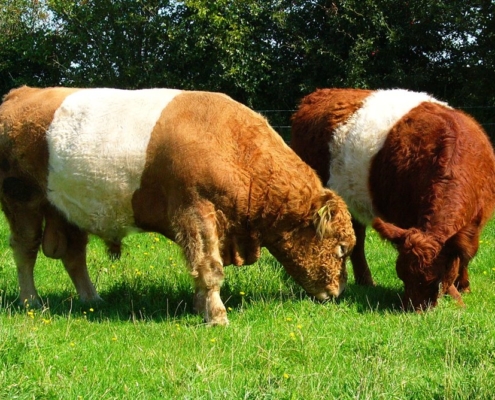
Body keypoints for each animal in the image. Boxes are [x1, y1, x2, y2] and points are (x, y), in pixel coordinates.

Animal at [0, 85, 356, 324]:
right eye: (341, 248)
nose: (338, 292)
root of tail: (20, 93)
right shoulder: (194, 211)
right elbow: (208, 266)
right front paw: (216, 316)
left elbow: (200, 266)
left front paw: (201, 307)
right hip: (21, 201)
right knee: (25, 250)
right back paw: (31, 301)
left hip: (68, 210)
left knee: (74, 255)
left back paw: (92, 299)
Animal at [290, 89, 495, 310]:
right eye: (401, 275)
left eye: (436, 281)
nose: (412, 310)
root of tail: (320, 93)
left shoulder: (475, 224)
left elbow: (465, 253)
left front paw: (463, 287)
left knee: (357, 236)